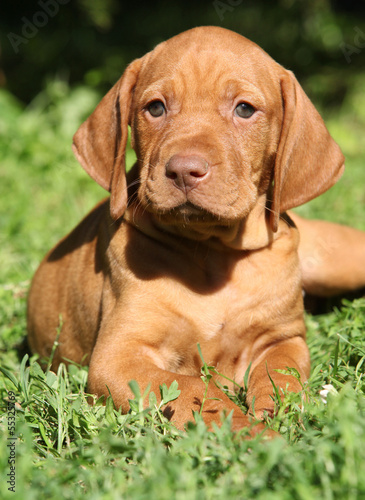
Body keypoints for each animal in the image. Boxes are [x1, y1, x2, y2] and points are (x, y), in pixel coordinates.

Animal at [26, 27, 364, 434]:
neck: (214, 251)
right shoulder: (118, 356)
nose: (185, 170)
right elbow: (194, 390)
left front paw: (275, 416)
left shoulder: (283, 337)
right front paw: (254, 433)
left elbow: (281, 375)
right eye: (156, 108)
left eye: (244, 109)